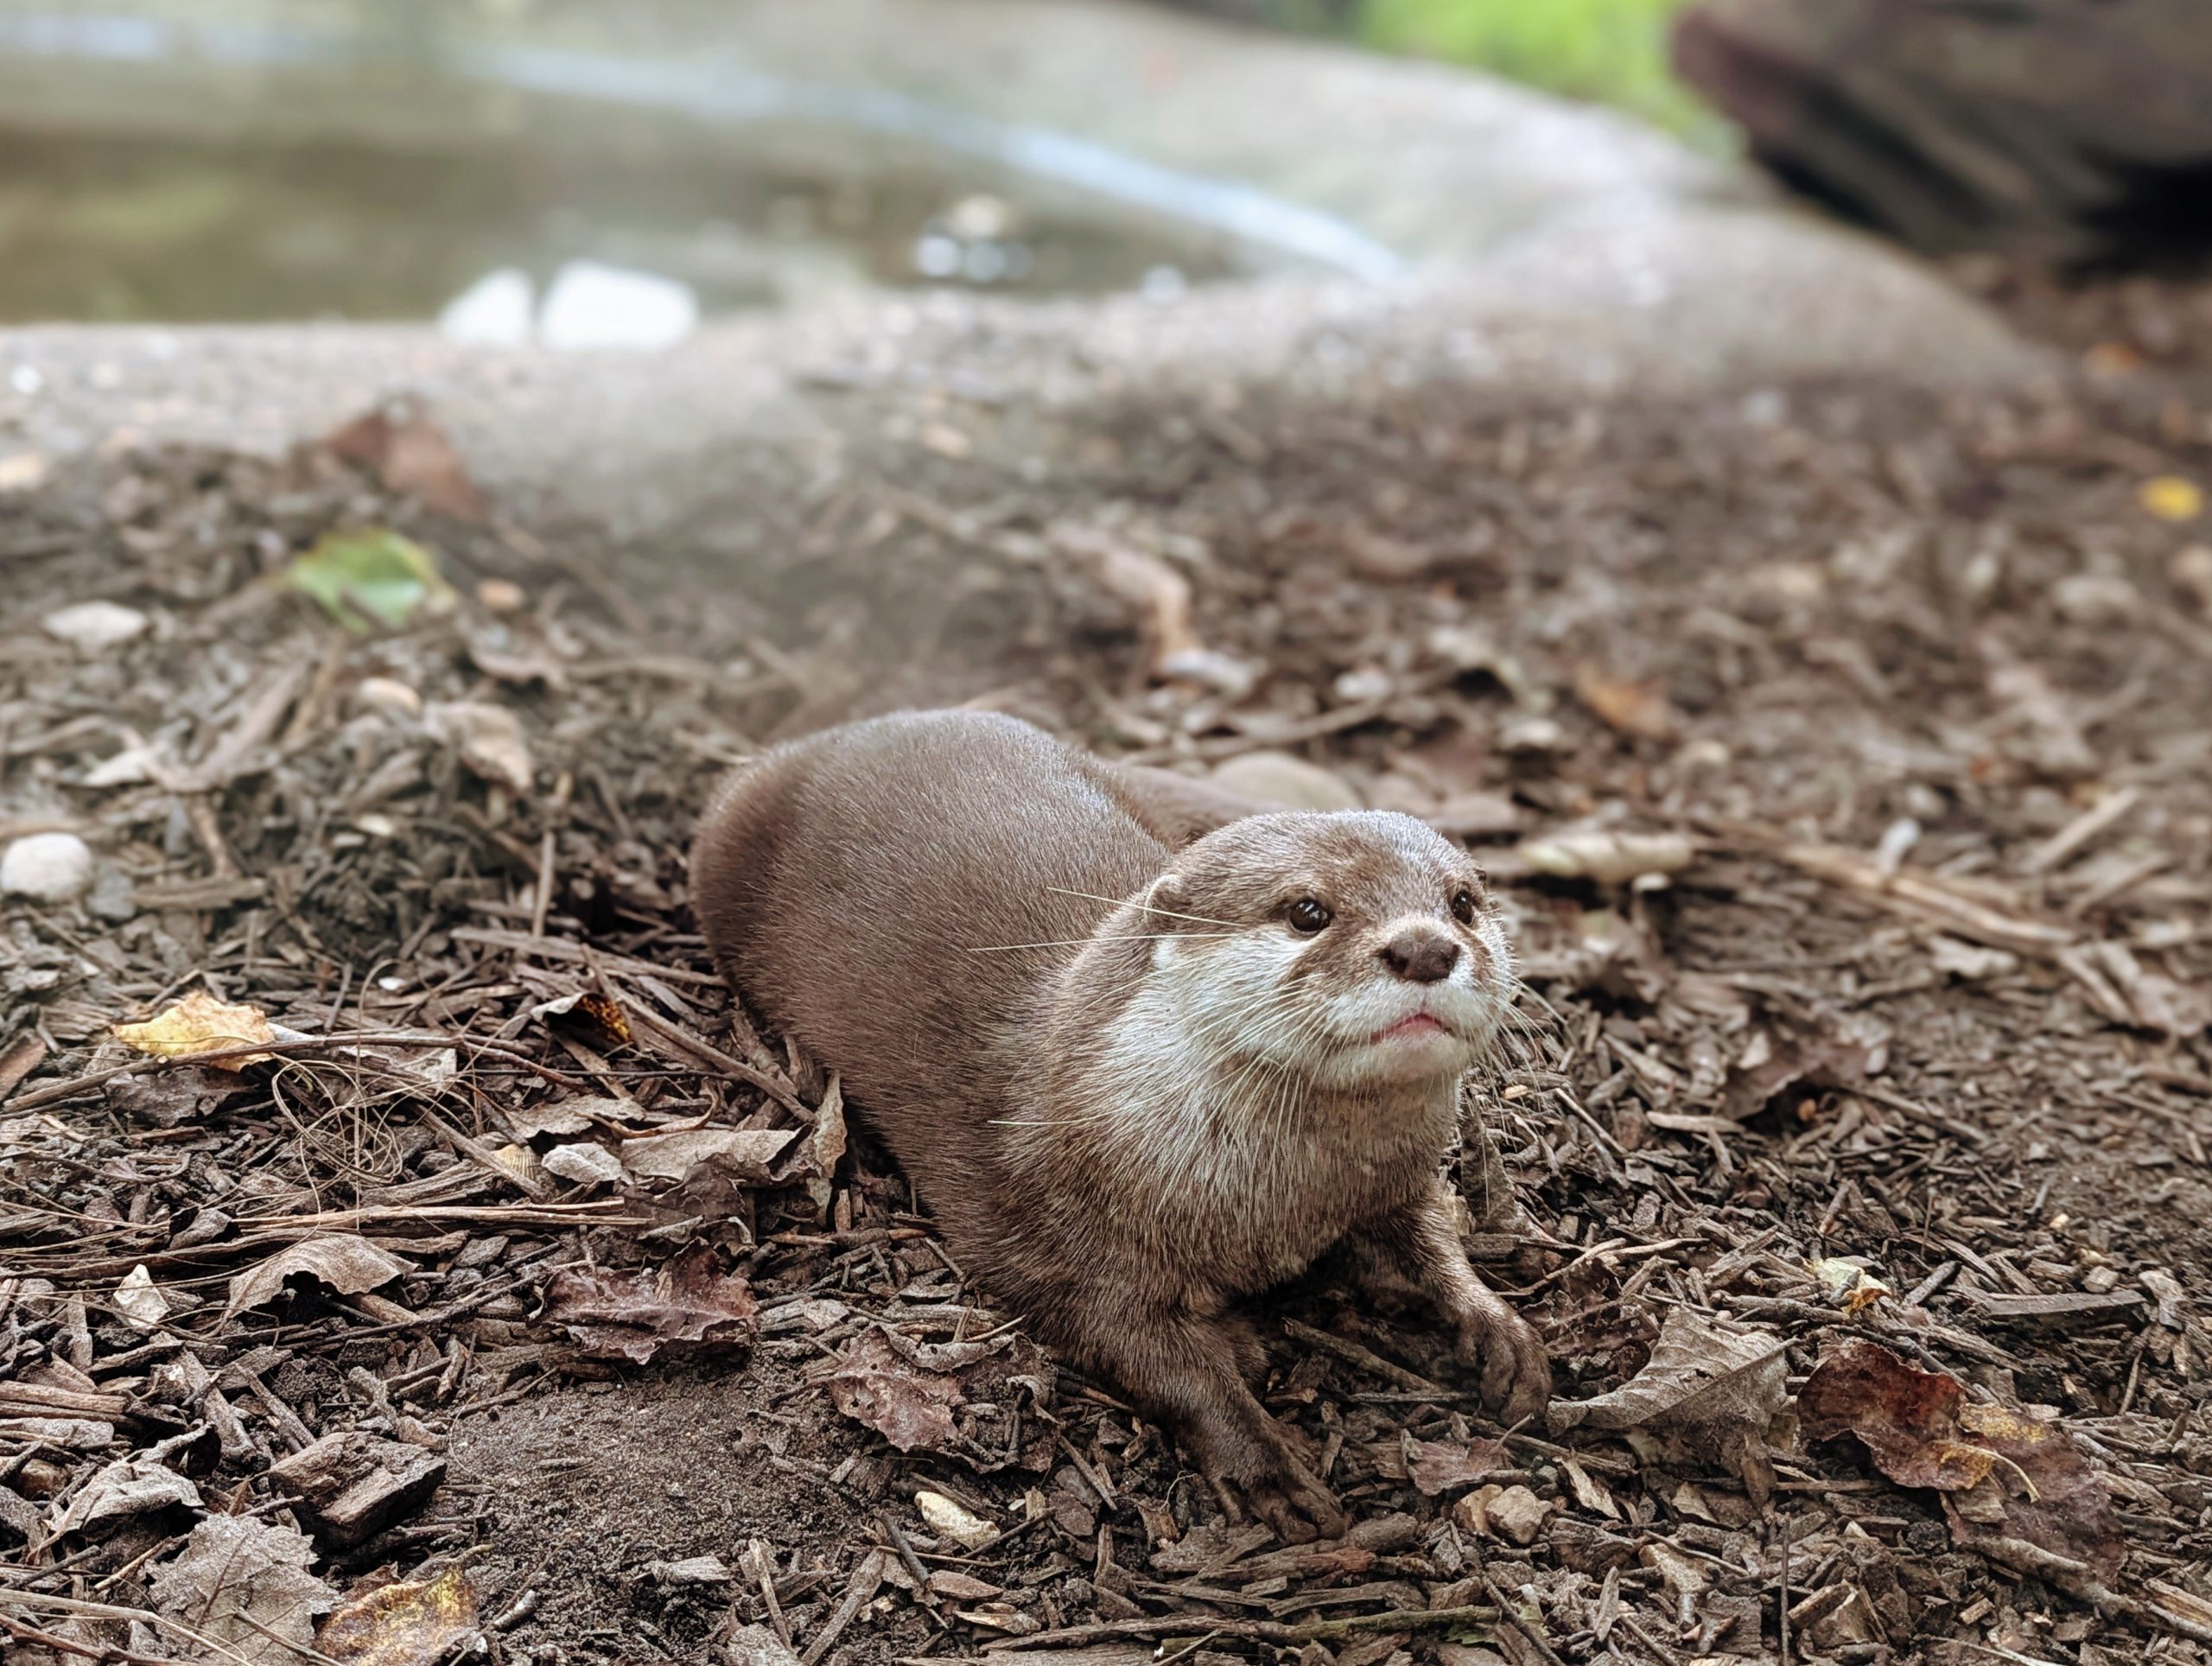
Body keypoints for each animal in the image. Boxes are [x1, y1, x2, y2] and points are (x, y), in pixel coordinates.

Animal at [685, 708, 1539, 1530]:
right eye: (1307, 910)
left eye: (1463, 902)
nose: (1426, 947)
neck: (1282, 1204)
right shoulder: (1059, 1236)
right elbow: (1148, 1356)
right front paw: (1266, 1467)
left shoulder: (1397, 1178)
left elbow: (1433, 1230)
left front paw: (1495, 1325)